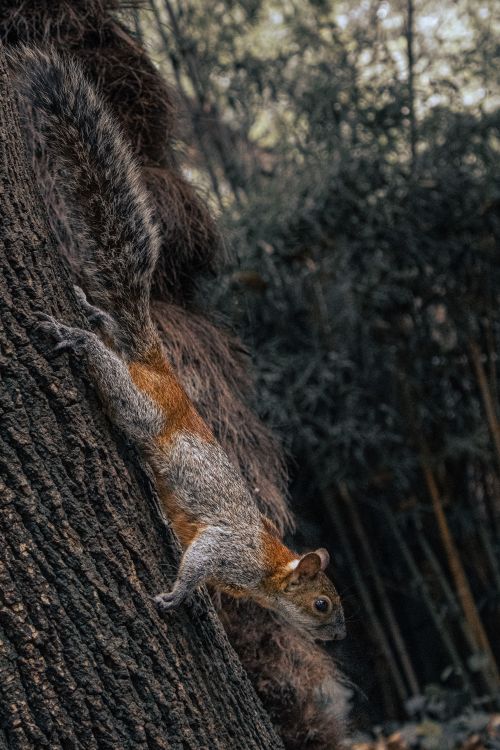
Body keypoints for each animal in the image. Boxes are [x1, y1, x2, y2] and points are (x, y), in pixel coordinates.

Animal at [14, 47, 346, 642]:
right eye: (322, 604)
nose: (339, 637)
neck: (267, 569)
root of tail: (162, 371)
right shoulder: (227, 547)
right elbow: (199, 563)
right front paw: (179, 594)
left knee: (112, 330)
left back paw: (91, 311)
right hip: (144, 408)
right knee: (112, 374)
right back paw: (76, 337)